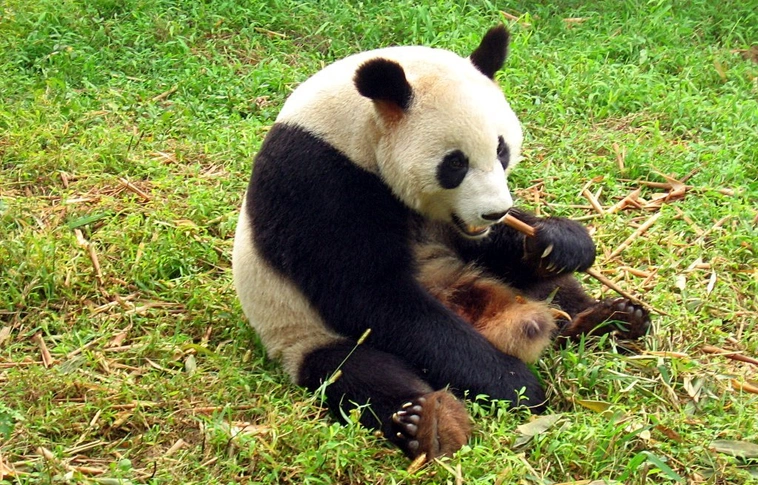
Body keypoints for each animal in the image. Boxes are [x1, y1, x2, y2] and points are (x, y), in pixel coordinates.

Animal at [232, 25, 650, 461]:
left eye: (502, 150)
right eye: (455, 163)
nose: (495, 212)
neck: (352, 129)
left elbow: (493, 247)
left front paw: (560, 242)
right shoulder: (318, 179)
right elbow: (370, 295)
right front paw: (516, 384)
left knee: (553, 290)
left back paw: (611, 319)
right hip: (299, 330)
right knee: (359, 372)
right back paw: (429, 424)